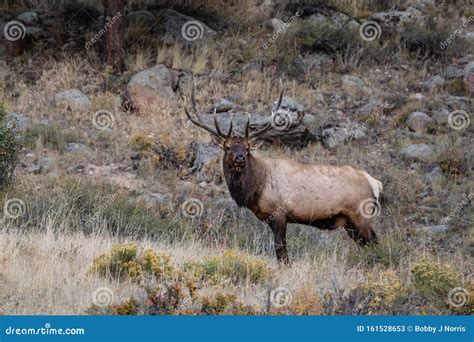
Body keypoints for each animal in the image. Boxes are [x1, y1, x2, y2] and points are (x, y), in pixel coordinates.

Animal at [183, 82, 384, 262]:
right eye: (227, 147)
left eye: (247, 148)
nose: (240, 157)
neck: (256, 186)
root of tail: (375, 183)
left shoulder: (279, 213)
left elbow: (281, 251)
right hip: (349, 223)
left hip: (361, 215)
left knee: (375, 243)